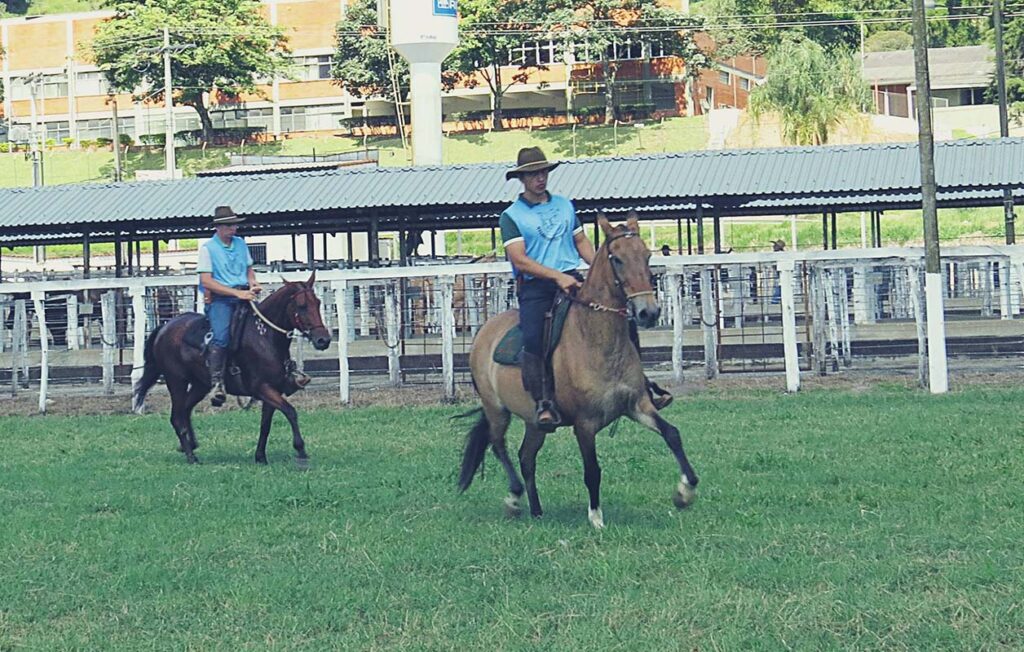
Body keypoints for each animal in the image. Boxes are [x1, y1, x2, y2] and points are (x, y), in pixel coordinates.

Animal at [132, 272, 332, 466]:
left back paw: (191, 444)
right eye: (302, 305)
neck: (264, 336)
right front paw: (301, 451)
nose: (323, 340)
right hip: (176, 381)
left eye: (318, 303)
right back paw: (191, 456)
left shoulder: (273, 390)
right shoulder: (262, 388)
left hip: (200, 385)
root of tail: (165, 327)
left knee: (185, 411)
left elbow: (265, 425)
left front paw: (260, 457)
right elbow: (291, 412)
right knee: (176, 416)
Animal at [457, 213, 699, 529]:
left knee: (526, 457)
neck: (596, 341)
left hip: (535, 422)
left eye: (647, 255)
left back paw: (536, 510)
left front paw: (685, 491)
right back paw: (514, 498)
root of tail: (485, 331)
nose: (649, 312)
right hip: (496, 409)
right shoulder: (585, 424)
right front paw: (596, 517)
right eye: (617, 259)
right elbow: (592, 470)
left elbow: (673, 434)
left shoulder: (638, 405)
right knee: (499, 446)